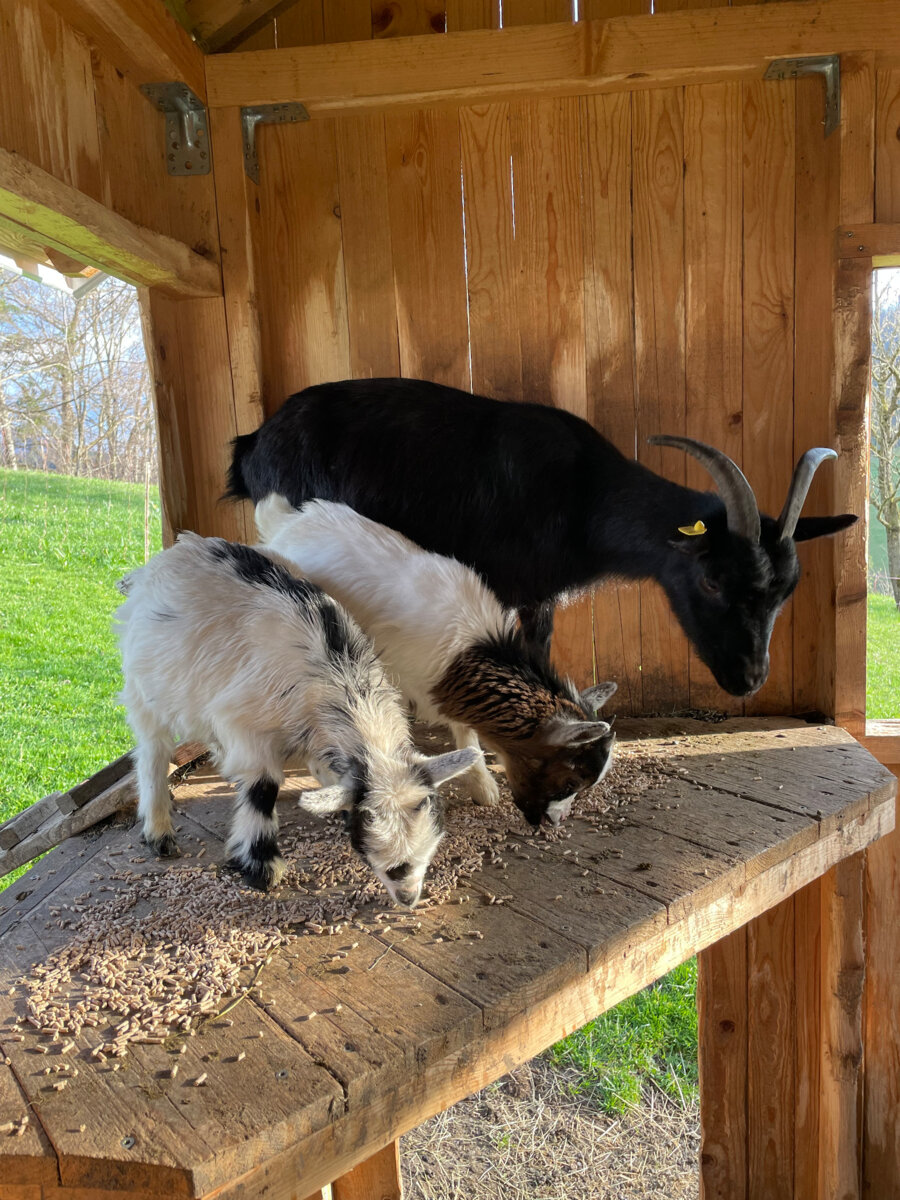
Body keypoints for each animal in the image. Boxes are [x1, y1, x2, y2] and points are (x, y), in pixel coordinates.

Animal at [117, 535, 482, 902]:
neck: (335, 676)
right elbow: (262, 789)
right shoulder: (247, 728)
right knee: (152, 752)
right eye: (388, 864)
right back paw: (159, 830)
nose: (408, 897)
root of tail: (169, 554)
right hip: (146, 689)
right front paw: (261, 867)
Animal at [226, 379, 859, 700]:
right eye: (710, 580)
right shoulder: (509, 590)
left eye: (786, 590)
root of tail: (253, 442)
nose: (749, 680)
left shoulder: (540, 598)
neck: (585, 495)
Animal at [256, 494, 619, 825]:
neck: (471, 652)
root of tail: (286, 521)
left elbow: (465, 731)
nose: (553, 822)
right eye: (570, 781)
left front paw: (482, 787)